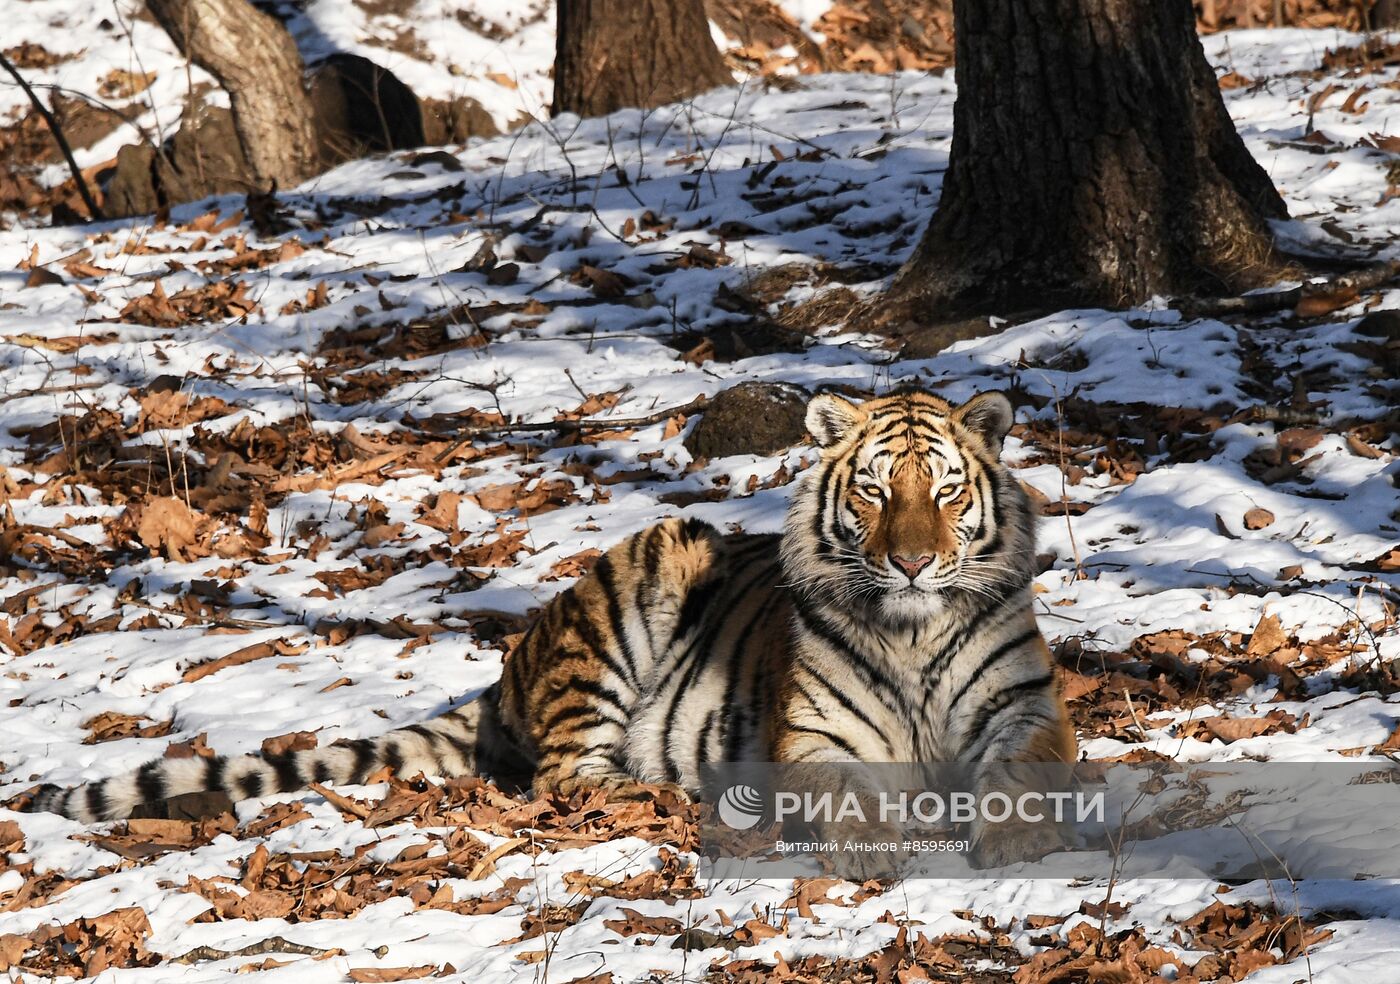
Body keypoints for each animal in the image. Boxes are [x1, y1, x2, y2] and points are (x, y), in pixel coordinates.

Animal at [30, 389, 1069, 867]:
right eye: (875, 492)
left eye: (944, 492)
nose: (913, 562)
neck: (911, 630)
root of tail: (506, 674)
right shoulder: (815, 738)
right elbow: (851, 797)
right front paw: (884, 844)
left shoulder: (1028, 708)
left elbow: (1023, 775)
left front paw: (1011, 844)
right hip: (642, 579)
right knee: (569, 777)